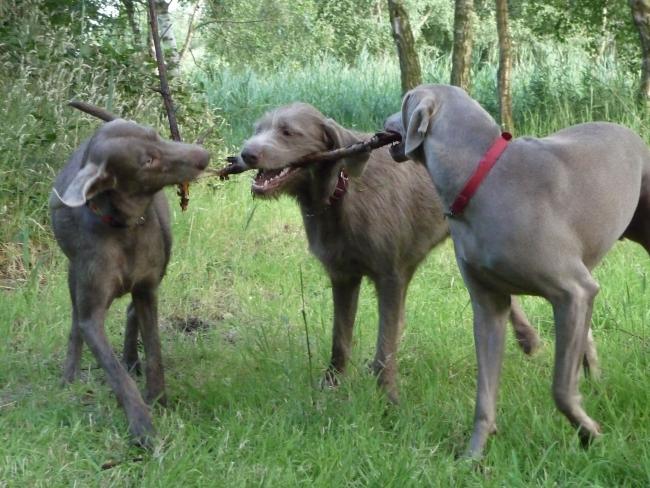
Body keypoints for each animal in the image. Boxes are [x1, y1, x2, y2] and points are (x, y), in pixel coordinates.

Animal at [50, 116, 208, 444]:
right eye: (147, 161)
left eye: (156, 134)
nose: (205, 155)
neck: (124, 227)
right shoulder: (92, 315)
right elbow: (114, 372)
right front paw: (142, 427)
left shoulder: (147, 289)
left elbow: (155, 351)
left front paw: (159, 401)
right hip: (73, 273)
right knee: (75, 322)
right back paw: (70, 375)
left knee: (132, 310)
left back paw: (132, 358)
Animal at [238, 103, 540, 404]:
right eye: (258, 129)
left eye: (288, 132)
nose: (245, 153)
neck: (340, 190)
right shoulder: (343, 275)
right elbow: (341, 336)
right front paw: (333, 381)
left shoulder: (389, 276)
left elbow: (385, 339)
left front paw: (388, 395)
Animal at [382, 84, 644, 458]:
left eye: (406, 100)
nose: (383, 122)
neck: (480, 178)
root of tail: (628, 130)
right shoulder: (489, 306)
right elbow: (485, 392)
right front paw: (473, 455)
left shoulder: (572, 291)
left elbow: (561, 388)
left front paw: (590, 434)